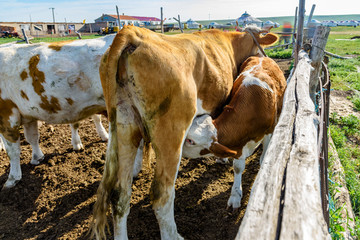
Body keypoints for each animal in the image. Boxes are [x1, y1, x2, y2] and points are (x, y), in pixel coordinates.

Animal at [0, 35, 115, 189]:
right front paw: (37, 157)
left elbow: (12, 151)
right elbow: (32, 137)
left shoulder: (7, 115)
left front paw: (12, 179)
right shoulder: (28, 115)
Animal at [183, 55, 286, 208]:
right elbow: (237, 166)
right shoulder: (238, 143)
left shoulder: (269, 130)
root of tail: (261, 56)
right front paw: (235, 195)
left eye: (190, 141)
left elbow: (264, 156)